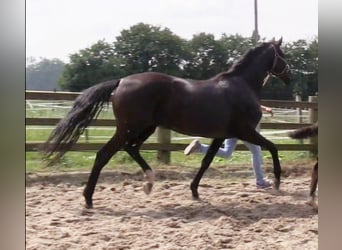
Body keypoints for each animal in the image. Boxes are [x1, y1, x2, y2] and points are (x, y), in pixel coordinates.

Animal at [42, 37, 292, 209]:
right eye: (282, 54)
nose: (289, 76)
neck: (242, 85)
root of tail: (121, 81)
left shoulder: (221, 134)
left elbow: (206, 161)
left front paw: (194, 191)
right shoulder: (245, 131)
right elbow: (272, 147)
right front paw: (277, 181)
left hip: (144, 127)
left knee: (131, 148)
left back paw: (148, 183)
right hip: (130, 128)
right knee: (105, 154)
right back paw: (88, 198)